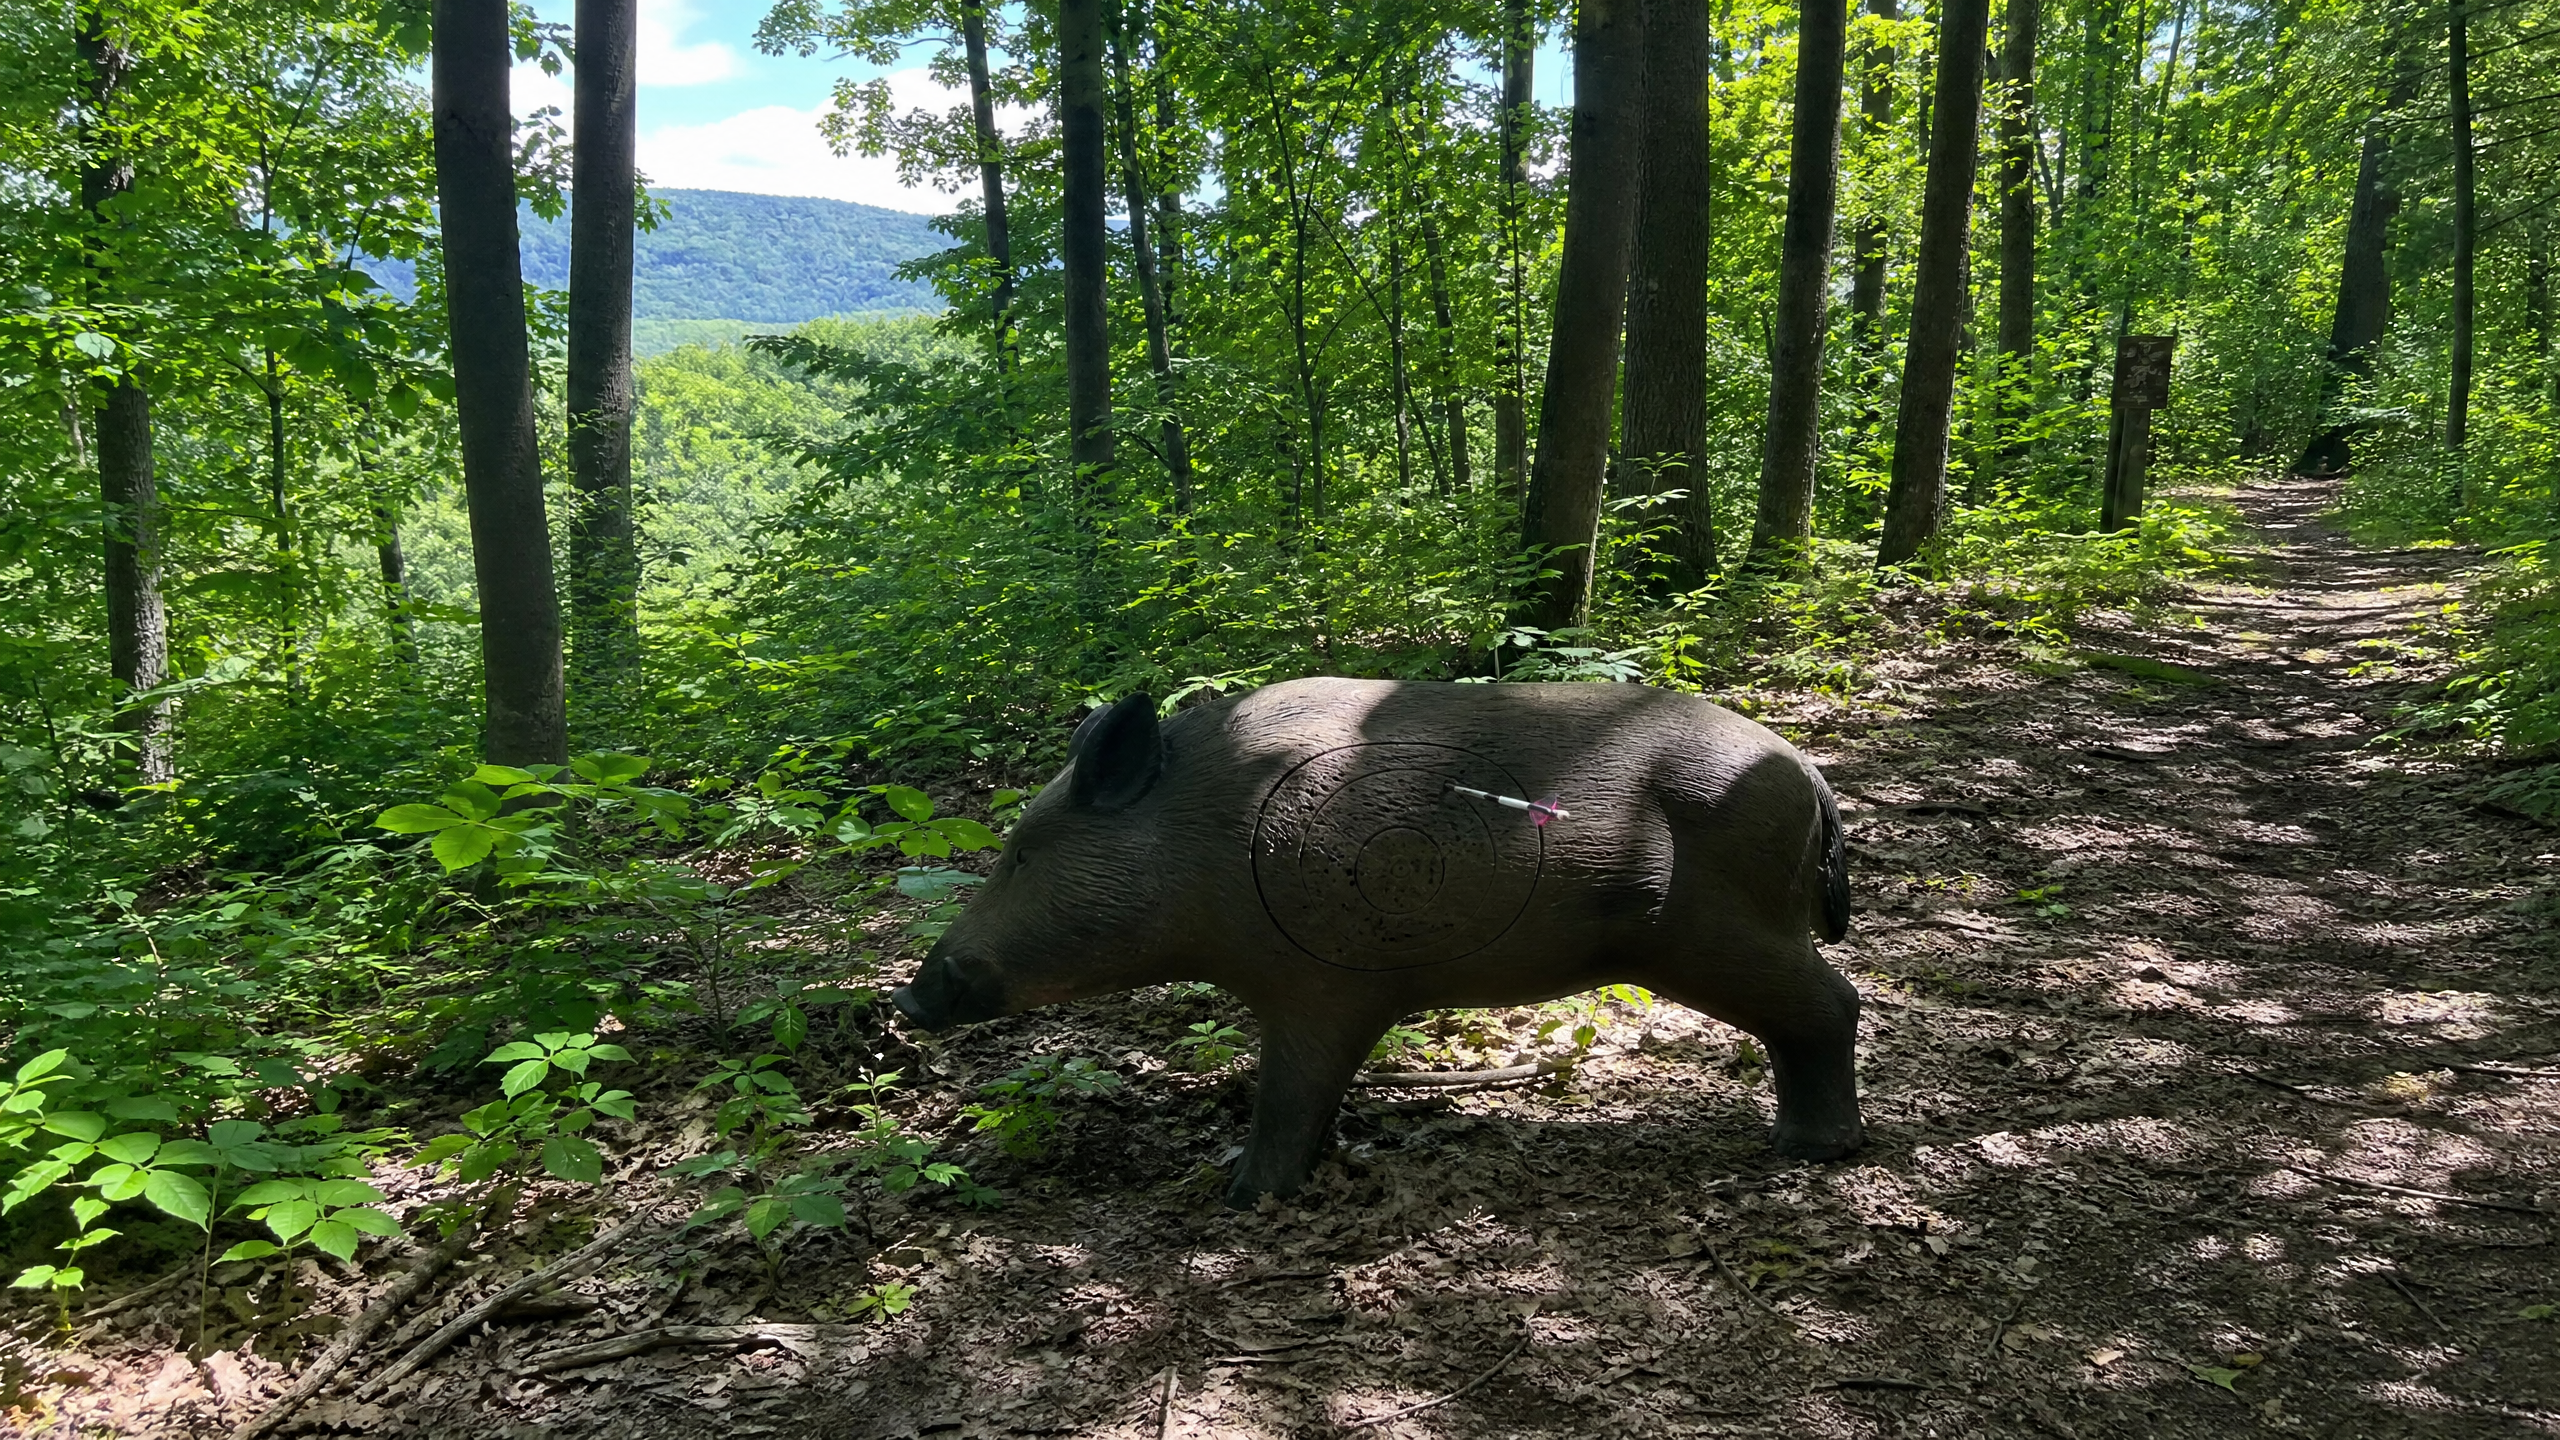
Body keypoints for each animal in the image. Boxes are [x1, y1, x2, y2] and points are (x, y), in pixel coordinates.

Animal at [892, 678, 1862, 1206]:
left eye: (1022, 852)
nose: (908, 996)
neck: (1199, 841)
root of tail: (1808, 774)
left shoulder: (1321, 987)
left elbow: (1290, 1098)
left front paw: (1241, 1198)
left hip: (1714, 930)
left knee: (1836, 1004)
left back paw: (1814, 1149)